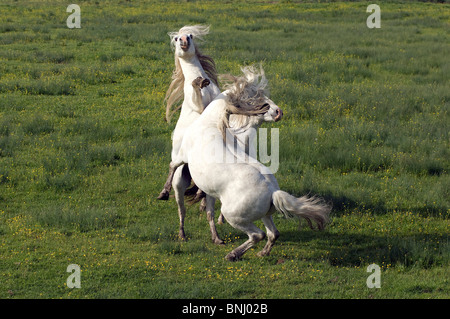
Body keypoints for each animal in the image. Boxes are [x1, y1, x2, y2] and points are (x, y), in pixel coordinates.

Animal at [169, 65, 330, 262]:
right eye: (256, 97)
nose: (278, 112)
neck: (211, 124)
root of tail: (273, 192)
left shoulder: (182, 155)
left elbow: (172, 166)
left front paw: (164, 193)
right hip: (265, 215)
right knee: (273, 234)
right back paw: (262, 253)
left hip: (236, 217)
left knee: (257, 235)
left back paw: (233, 254)